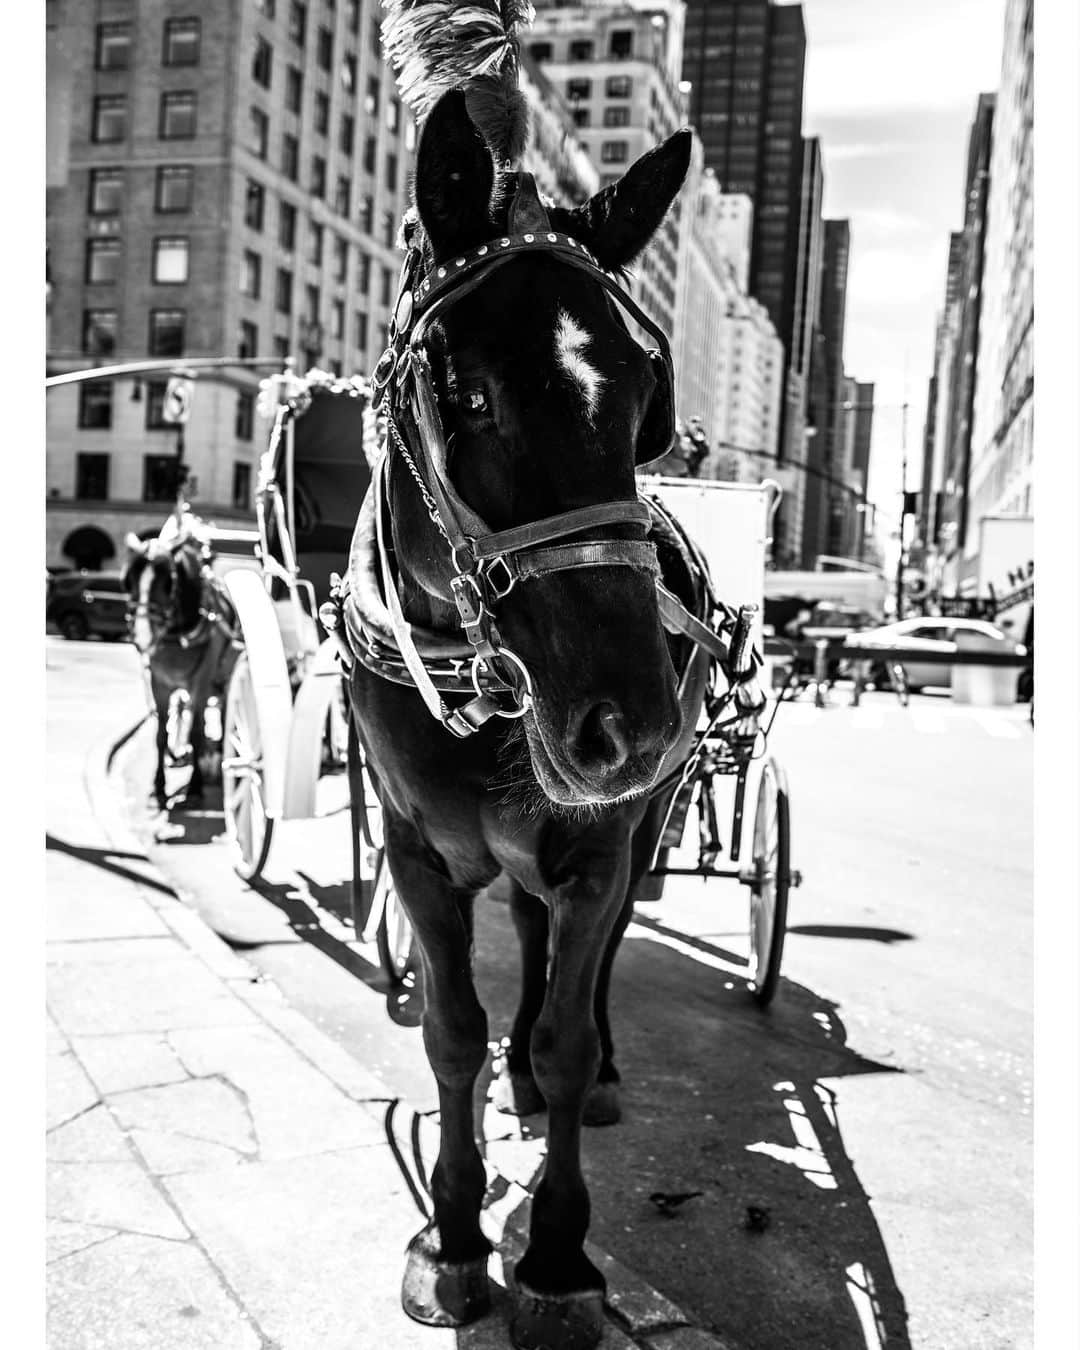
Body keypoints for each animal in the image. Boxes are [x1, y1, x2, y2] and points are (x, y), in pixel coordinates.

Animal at [124, 523, 238, 799]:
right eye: (129, 580)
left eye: (168, 582)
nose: (142, 633)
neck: (178, 633)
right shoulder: (159, 682)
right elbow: (160, 733)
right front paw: (159, 783)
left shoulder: (202, 681)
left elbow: (197, 729)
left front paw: (196, 783)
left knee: (222, 713)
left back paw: (214, 758)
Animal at [344, 95, 718, 1350]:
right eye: (463, 394)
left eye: (649, 394)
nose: (631, 728)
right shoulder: (417, 850)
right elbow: (450, 1033)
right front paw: (455, 1236)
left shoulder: (601, 846)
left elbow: (564, 1031)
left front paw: (555, 1257)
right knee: (527, 922)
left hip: (638, 829)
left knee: (585, 964)